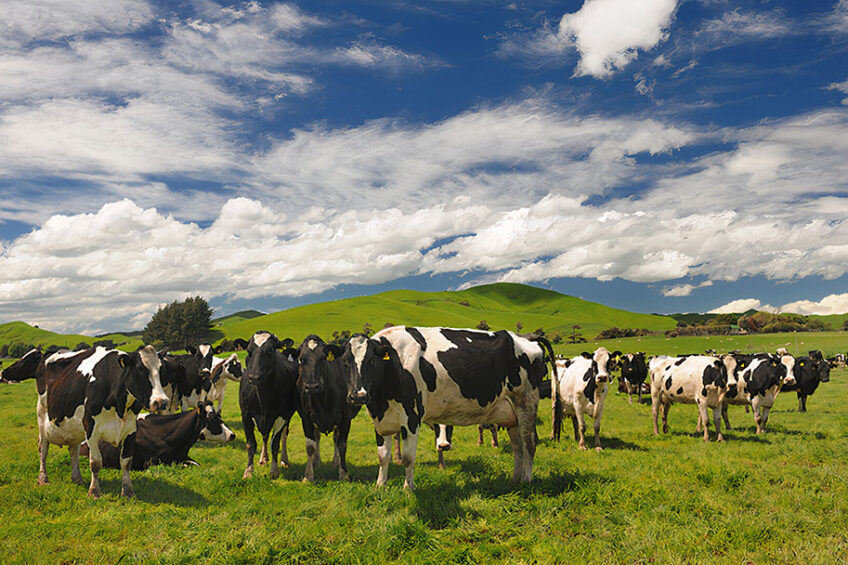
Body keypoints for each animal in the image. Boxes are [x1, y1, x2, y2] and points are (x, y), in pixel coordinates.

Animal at [2, 346, 171, 496]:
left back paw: (77, 478)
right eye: (140, 370)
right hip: (42, 419)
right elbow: (95, 463)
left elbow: (126, 462)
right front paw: (94, 491)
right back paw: (43, 479)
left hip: (74, 429)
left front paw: (128, 492)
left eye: (162, 371)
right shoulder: (91, 428)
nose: (161, 402)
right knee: (43, 450)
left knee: (73, 451)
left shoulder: (130, 429)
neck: (119, 404)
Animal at [240, 330, 300, 480]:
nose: (254, 377)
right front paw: (248, 471)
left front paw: (274, 471)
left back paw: (284, 460)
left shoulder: (282, 416)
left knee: (284, 435)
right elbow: (251, 444)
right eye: (249, 351)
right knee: (265, 436)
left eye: (270, 351)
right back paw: (263, 458)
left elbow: (275, 444)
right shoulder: (246, 415)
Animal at [294, 334, 360, 480]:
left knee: (336, 438)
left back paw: (336, 462)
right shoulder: (306, 417)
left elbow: (342, 445)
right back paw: (316, 461)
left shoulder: (345, 417)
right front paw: (308, 476)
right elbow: (310, 446)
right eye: (302, 359)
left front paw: (343, 474)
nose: (312, 386)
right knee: (317, 437)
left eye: (323, 358)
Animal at [342, 326, 552, 490]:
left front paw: (408, 488)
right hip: (511, 412)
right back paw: (515, 480)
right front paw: (380, 486)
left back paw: (526, 480)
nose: (358, 396)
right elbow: (382, 456)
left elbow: (409, 458)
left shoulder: (411, 418)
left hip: (526, 402)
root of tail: (526, 337)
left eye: (371, 361)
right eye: (345, 362)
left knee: (529, 441)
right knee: (517, 446)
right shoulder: (381, 421)